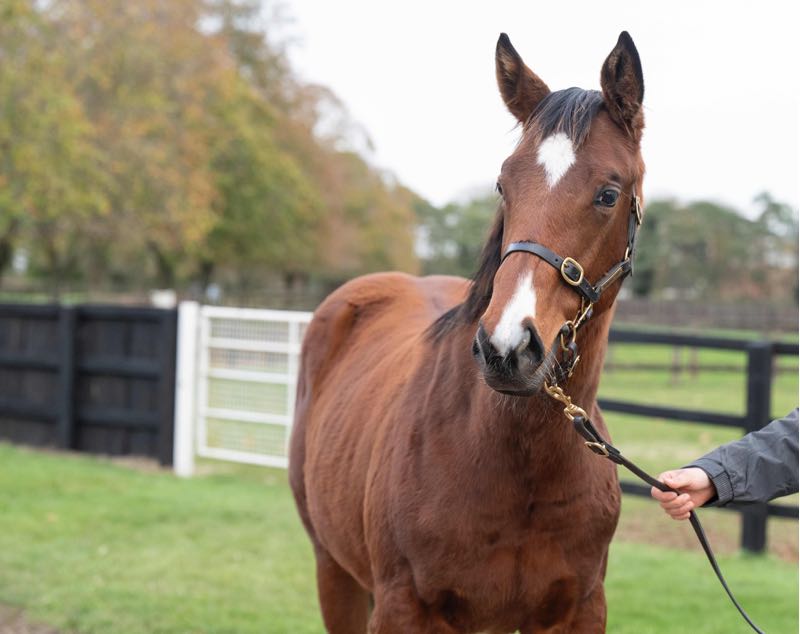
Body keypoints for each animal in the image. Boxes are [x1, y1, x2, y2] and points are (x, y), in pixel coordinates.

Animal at [289, 31, 645, 633]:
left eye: (608, 193)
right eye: (504, 184)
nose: (507, 348)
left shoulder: (578, 610)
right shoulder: (401, 608)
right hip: (332, 572)